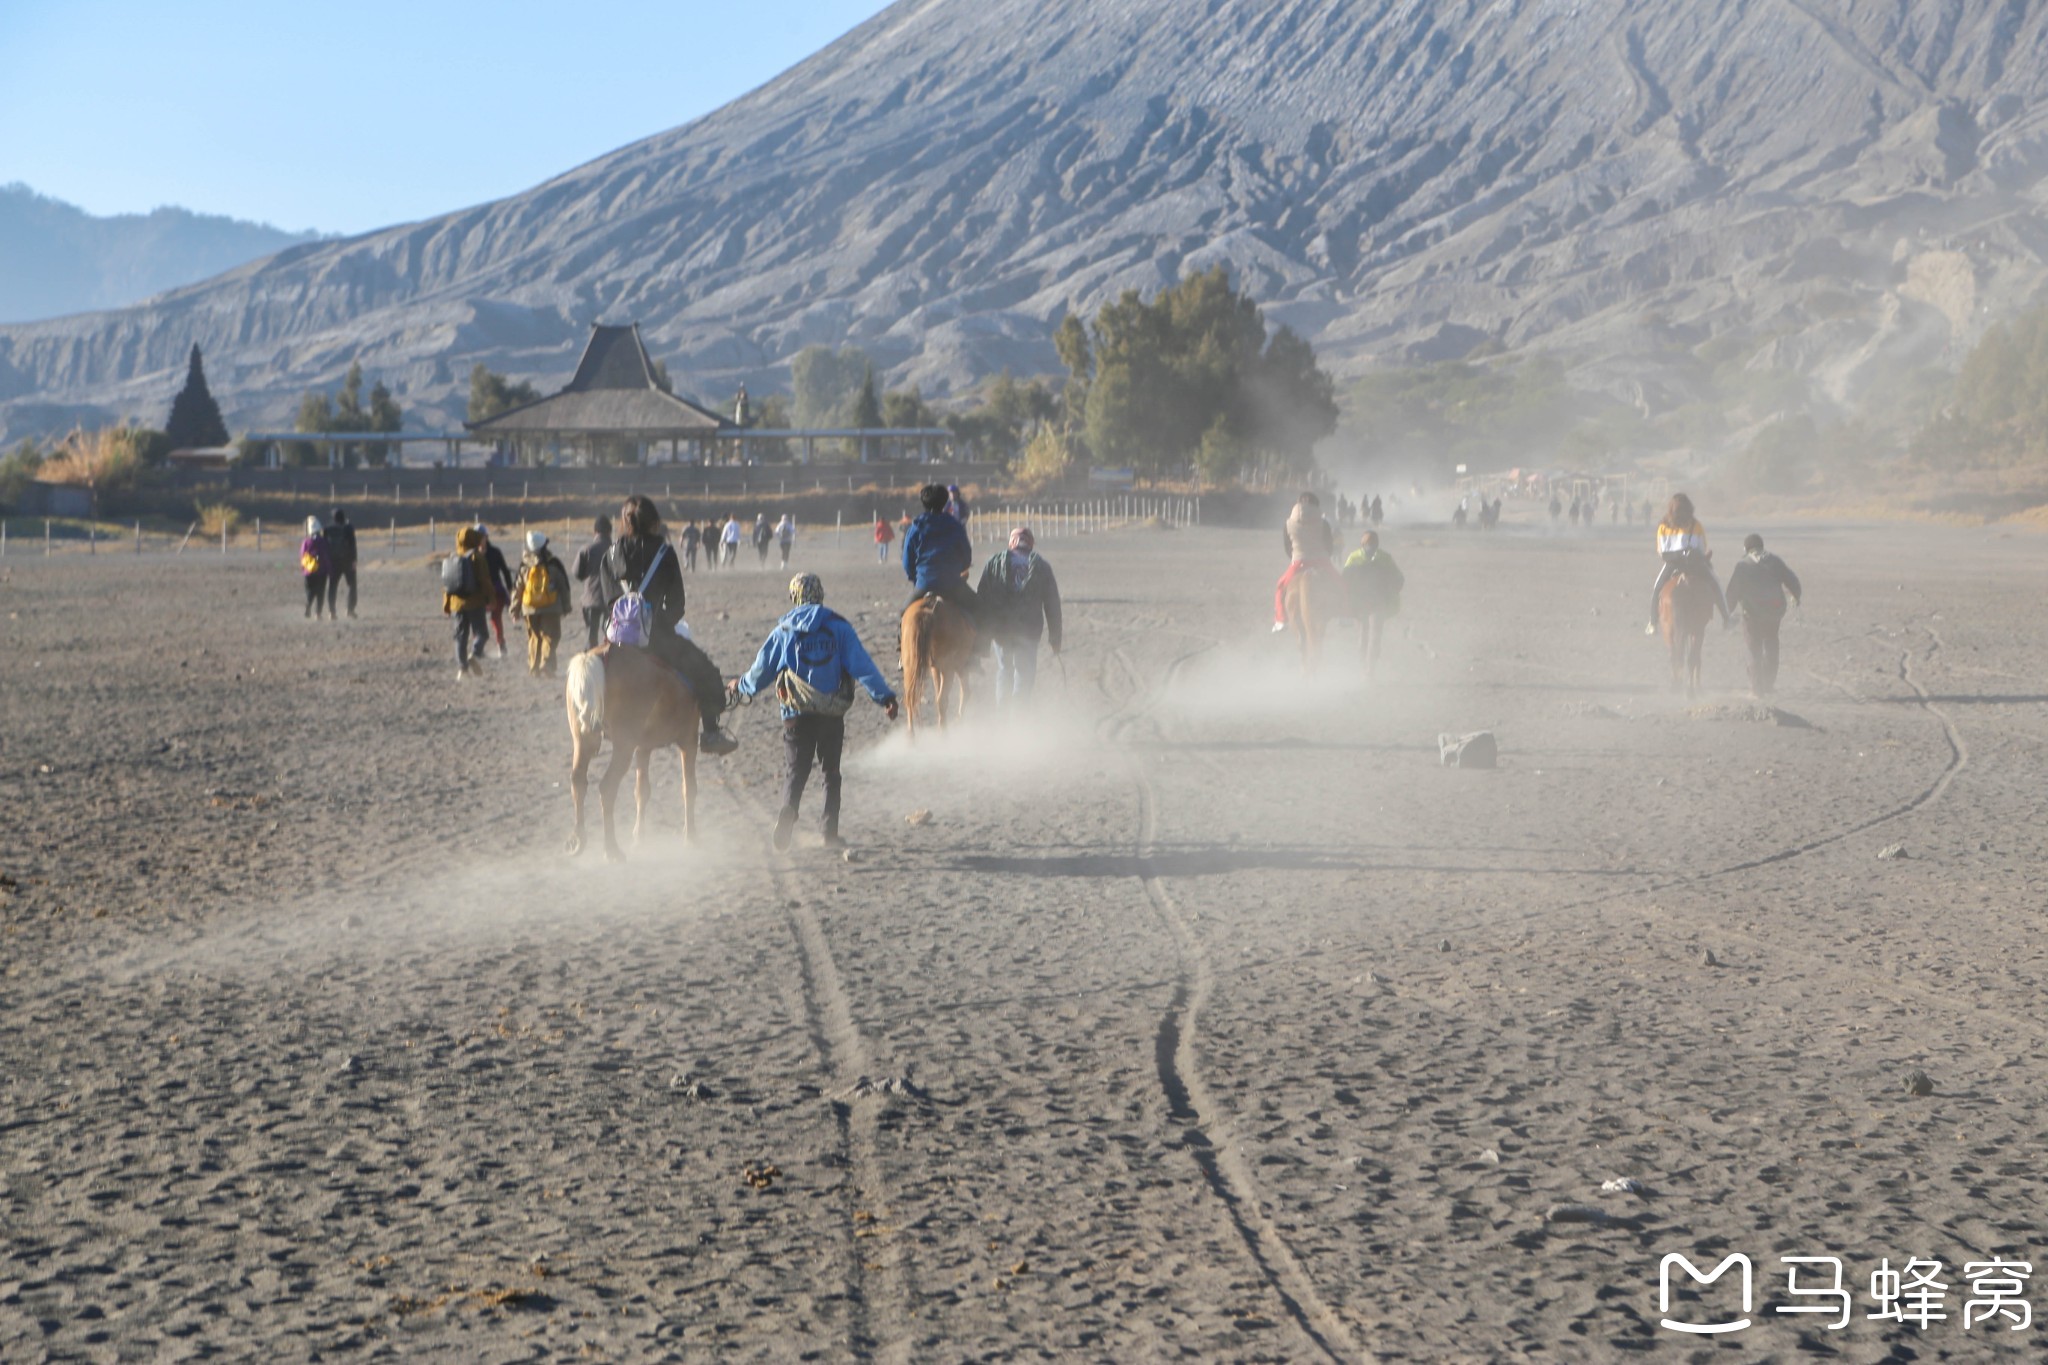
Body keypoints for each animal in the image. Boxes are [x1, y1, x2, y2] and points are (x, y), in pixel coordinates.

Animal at [565, 646, 700, 859]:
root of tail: (599, 656)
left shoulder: (643, 747)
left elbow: (642, 791)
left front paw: (638, 839)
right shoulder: (689, 740)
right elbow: (689, 788)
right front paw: (691, 838)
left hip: (584, 740)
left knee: (578, 780)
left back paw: (578, 841)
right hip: (623, 746)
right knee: (607, 787)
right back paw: (612, 850)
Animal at [897, 593, 974, 740]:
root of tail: (928, 611)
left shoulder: (935, 668)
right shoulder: (957, 665)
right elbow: (965, 691)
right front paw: (958, 719)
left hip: (911, 666)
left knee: (910, 698)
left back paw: (912, 737)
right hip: (949, 667)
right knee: (943, 699)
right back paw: (944, 735)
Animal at [1654, 564, 1720, 699]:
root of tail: (1684, 582)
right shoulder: (1695, 631)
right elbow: (1694, 657)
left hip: (1671, 630)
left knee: (1677, 655)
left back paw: (1679, 687)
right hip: (1692, 630)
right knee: (1687, 658)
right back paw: (1688, 690)